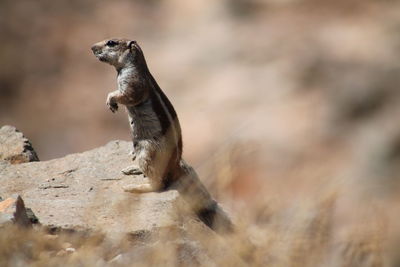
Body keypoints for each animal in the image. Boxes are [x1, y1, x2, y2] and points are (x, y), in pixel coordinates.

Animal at [91, 38, 233, 233]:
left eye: (111, 43)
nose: (91, 48)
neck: (127, 67)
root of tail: (176, 164)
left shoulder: (133, 82)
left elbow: (127, 95)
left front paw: (111, 100)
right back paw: (133, 169)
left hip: (149, 152)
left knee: (159, 184)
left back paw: (134, 187)